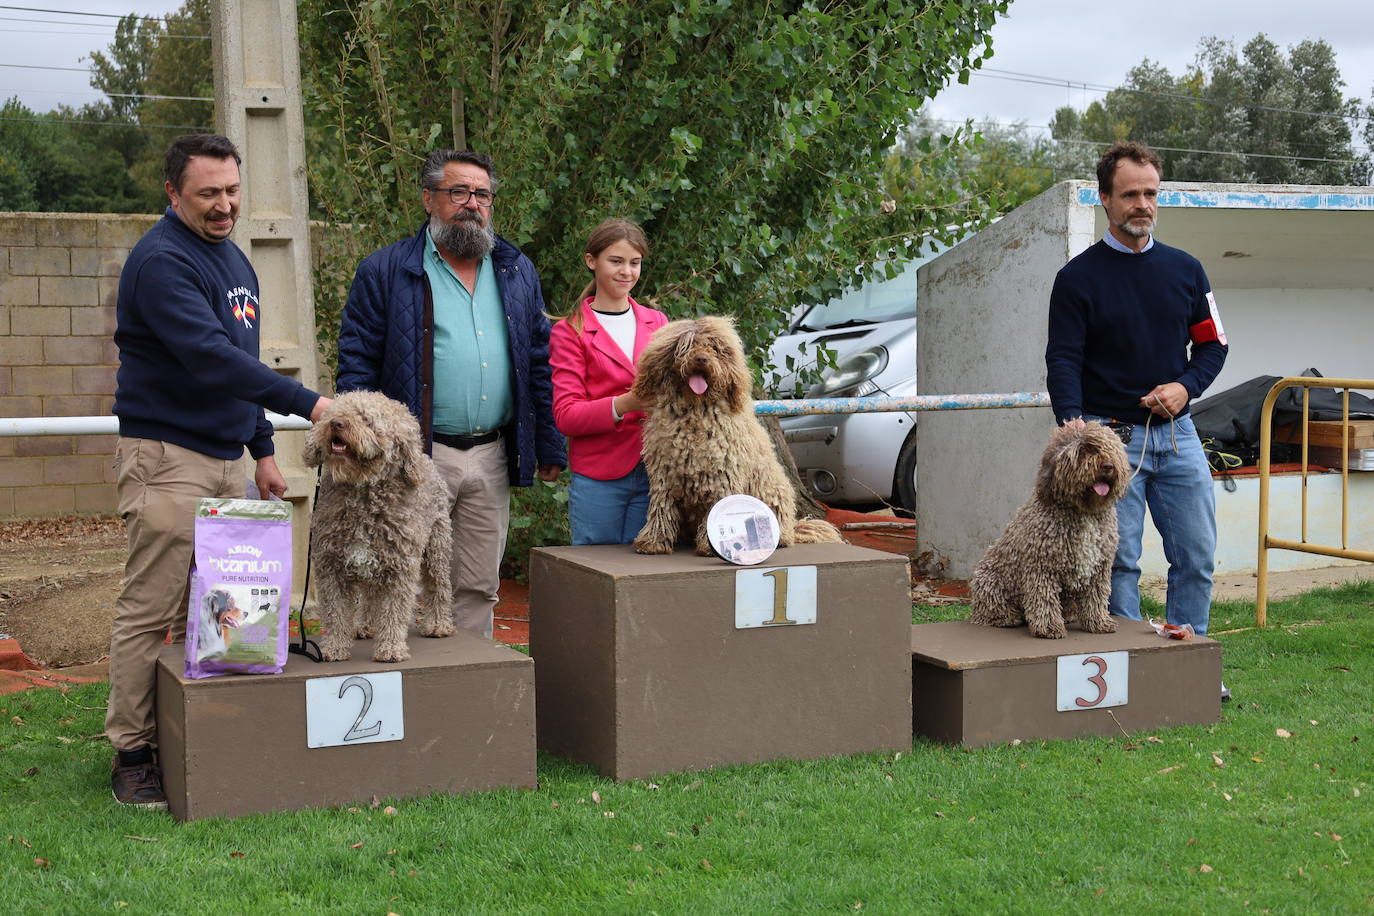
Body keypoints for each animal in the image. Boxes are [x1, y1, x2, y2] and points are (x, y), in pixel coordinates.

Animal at [303, 390, 453, 661]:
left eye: (367, 420)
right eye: (335, 413)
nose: (336, 423)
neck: (362, 493)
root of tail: (424, 457)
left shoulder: (401, 567)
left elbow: (394, 611)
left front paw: (391, 649)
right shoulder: (331, 566)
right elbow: (335, 612)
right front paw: (334, 647)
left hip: (436, 547)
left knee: (439, 585)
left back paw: (438, 625)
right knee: (371, 595)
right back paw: (366, 626)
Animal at [629, 315, 840, 560]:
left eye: (714, 348)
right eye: (686, 345)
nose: (701, 358)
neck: (696, 411)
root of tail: (791, 527)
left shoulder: (723, 474)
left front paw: (711, 545)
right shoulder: (665, 474)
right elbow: (661, 508)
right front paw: (653, 541)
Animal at [967, 422, 1126, 637]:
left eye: (1109, 448)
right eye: (1083, 451)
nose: (1108, 466)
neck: (1083, 511)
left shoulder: (1099, 568)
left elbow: (1096, 597)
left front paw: (1099, 622)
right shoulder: (1042, 567)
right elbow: (1044, 598)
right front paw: (1049, 627)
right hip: (989, 580)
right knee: (990, 609)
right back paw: (1006, 617)